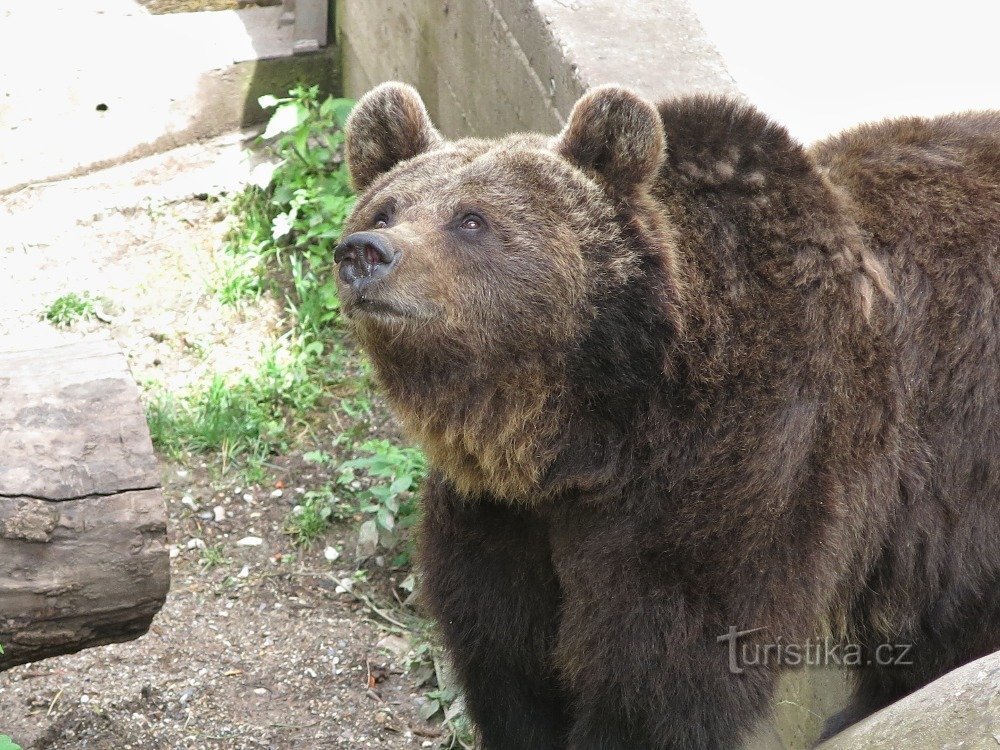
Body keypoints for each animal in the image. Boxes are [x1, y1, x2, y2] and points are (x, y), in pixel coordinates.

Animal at [332, 82, 996, 750]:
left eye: (471, 219)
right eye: (384, 209)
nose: (366, 253)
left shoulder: (741, 468)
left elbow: (663, 666)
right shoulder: (504, 516)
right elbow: (507, 653)